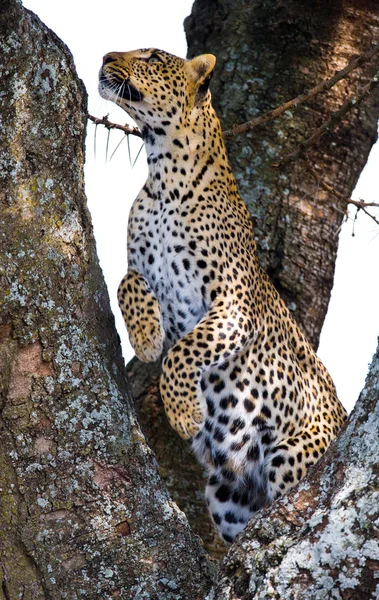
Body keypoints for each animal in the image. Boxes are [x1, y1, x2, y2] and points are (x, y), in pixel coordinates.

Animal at [99, 47, 348, 544]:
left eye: (150, 56)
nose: (105, 57)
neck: (163, 178)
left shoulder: (232, 304)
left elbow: (184, 351)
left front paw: (183, 414)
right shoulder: (145, 271)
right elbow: (127, 283)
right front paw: (146, 337)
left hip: (290, 454)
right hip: (227, 492)